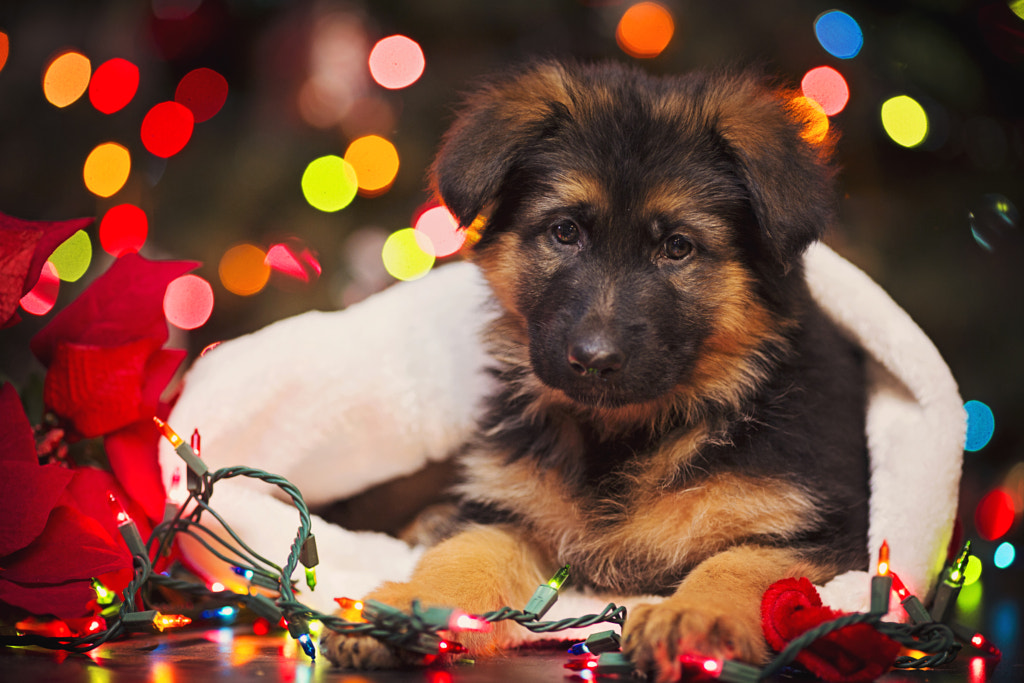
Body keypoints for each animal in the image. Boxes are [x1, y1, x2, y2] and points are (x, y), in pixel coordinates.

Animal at [323, 62, 868, 679]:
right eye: (565, 232)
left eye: (678, 247)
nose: (593, 359)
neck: (628, 432)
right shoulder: (511, 511)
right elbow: (466, 554)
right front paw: (410, 607)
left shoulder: (817, 532)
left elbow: (746, 569)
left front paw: (696, 618)